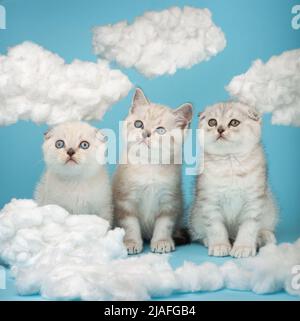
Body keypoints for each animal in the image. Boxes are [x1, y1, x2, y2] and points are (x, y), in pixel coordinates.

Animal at [112, 87, 192, 252]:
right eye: (138, 124)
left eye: (160, 130)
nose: (145, 134)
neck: (148, 166)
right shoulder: (125, 201)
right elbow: (130, 225)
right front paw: (131, 242)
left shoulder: (170, 201)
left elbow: (164, 225)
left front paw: (162, 241)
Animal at [190, 102, 276, 258]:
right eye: (212, 122)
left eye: (234, 123)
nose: (220, 129)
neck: (230, 161)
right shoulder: (209, 201)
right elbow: (215, 227)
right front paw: (219, 245)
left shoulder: (253, 201)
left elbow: (249, 227)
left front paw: (243, 247)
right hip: (195, 216)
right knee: (199, 233)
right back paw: (208, 240)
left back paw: (264, 236)